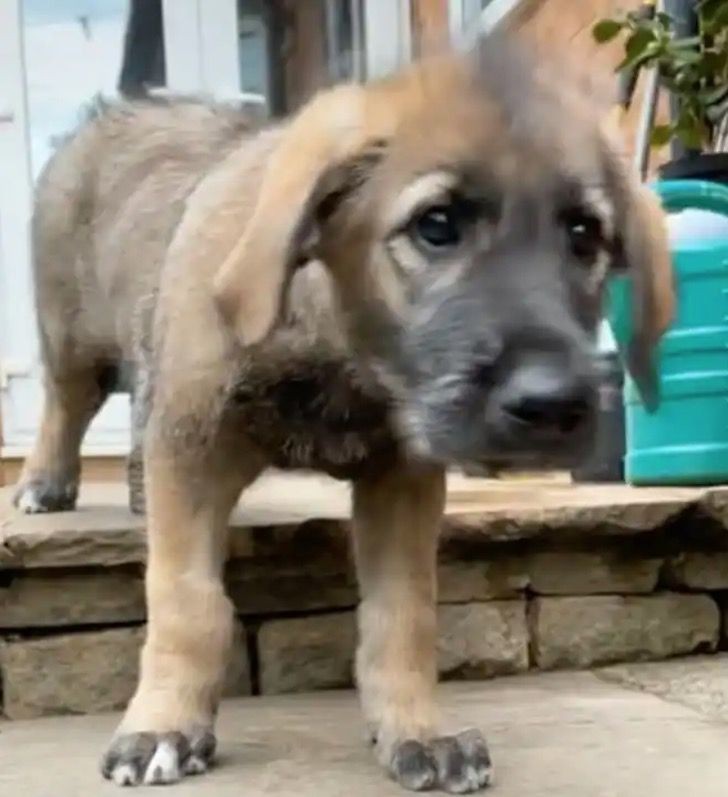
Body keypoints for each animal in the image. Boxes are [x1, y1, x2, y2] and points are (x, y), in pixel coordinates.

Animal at [14, 35, 672, 788]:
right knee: (65, 402)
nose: (553, 404)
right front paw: (162, 724)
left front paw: (418, 730)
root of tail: (114, 107)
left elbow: (402, 614)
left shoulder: (403, 479)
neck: (344, 359)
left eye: (585, 234)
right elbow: (186, 601)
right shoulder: (192, 448)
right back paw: (45, 483)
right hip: (74, 338)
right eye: (435, 225)